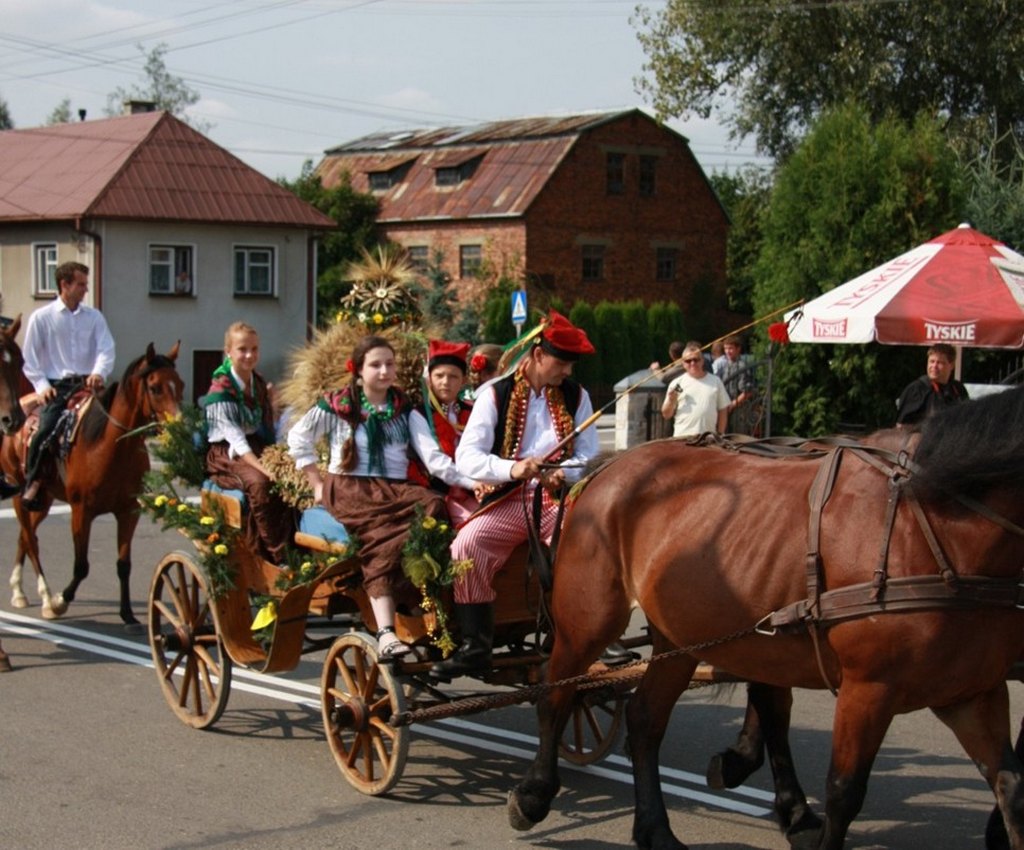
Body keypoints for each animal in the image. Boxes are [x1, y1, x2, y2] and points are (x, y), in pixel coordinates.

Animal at [0, 343, 183, 628]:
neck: (109, 447)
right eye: (155, 387)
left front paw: (128, 614)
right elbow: (81, 565)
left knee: (24, 536)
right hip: (21, 493)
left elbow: (124, 565)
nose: (179, 426)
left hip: (44, 499)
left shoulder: (128, 512)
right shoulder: (81, 511)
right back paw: (45, 597)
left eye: (181, 384)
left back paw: (19, 591)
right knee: (30, 539)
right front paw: (60, 601)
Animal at [508, 385, 1024, 850]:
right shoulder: (869, 689)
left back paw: (657, 830)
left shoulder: (973, 693)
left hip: (680, 638)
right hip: (587, 621)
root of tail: (609, 466)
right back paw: (533, 794)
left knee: (644, 720)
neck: (933, 520)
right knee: (557, 695)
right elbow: (844, 792)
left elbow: (1011, 787)